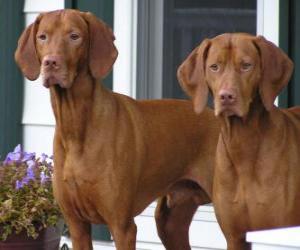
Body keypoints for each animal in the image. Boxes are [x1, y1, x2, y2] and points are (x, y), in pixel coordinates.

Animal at [15, 9, 219, 250]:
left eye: (74, 36)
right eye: (42, 37)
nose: (50, 63)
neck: (76, 125)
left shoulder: (122, 226)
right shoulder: (76, 225)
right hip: (170, 223)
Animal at [177, 32, 300, 249]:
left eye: (246, 65)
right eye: (214, 67)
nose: (226, 96)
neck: (243, 144)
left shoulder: (278, 233)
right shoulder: (235, 237)